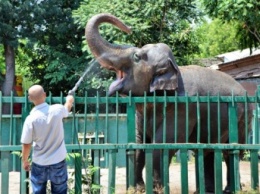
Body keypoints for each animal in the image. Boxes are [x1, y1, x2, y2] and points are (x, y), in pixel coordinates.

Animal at [85, 13, 252, 192]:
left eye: (137, 57)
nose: (129, 29)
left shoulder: (184, 108)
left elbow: (162, 143)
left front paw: (157, 190)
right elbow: (139, 143)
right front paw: (139, 189)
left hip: (244, 118)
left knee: (232, 152)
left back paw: (231, 189)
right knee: (209, 150)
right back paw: (205, 191)